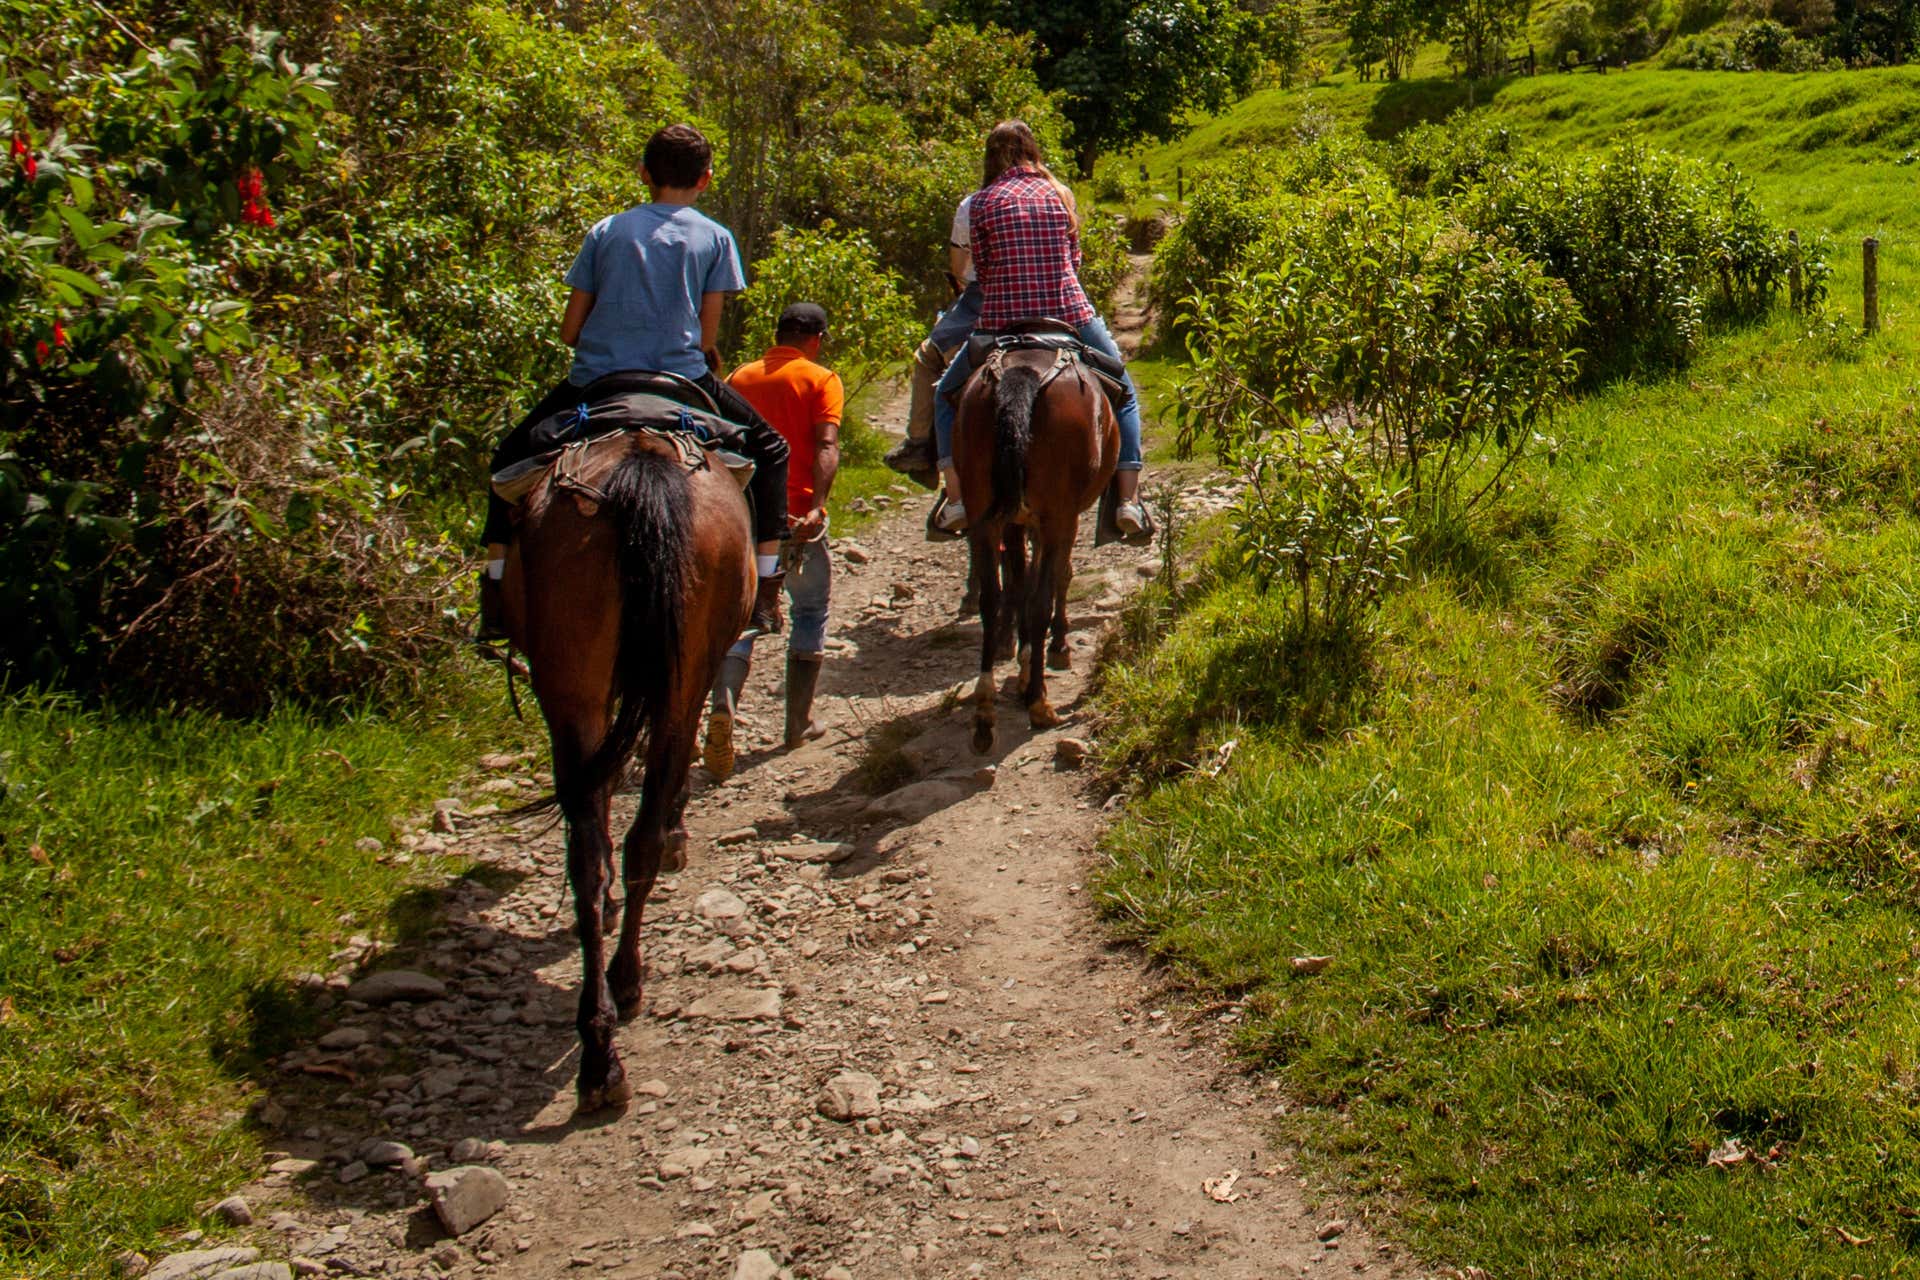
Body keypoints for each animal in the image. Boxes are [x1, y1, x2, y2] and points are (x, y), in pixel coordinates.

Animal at [501, 431, 754, 1112]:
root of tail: (640, 466)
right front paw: (678, 834)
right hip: (659, 677)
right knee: (617, 843)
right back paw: (613, 1014)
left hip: (576, 690)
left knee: (593, 855)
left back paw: (602, 1043)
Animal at [951, 341, 1119, 755]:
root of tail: (1022, 371)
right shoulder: (1058, 519)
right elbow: (1056, 579)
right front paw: (1056, 649)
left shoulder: (1016, 522)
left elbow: (1018, 586)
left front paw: (1025, 664)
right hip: (1058, 515)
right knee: (1041, 597)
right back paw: (1040, 704)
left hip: (985, 514)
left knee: (992, 599)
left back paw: (985, 715)